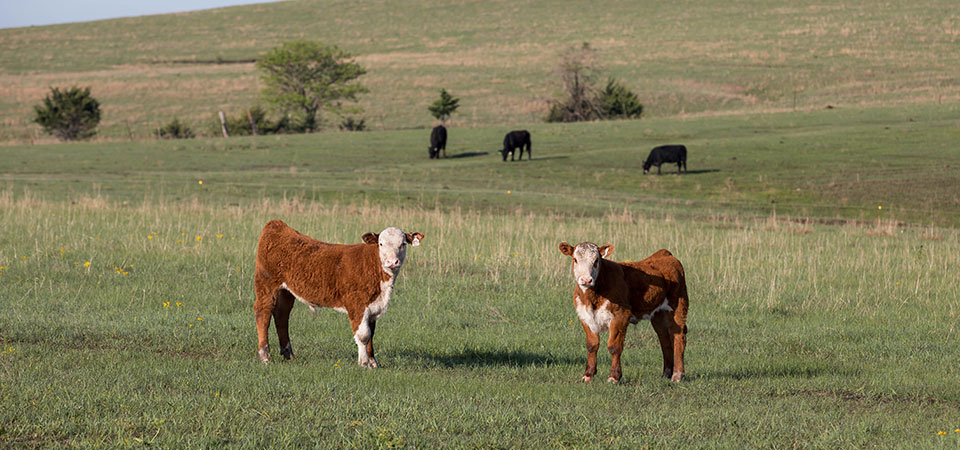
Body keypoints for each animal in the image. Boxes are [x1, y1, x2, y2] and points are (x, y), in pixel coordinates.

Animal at [254, 220, 424, 367]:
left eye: (403, 244)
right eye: (381, 244)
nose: (392, 262)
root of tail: (277, 225)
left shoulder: (373, 307)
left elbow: (371, 333)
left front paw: (373, 362)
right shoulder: (357, 304)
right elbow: (363, 335)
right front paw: (364, 363)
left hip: (286, 291)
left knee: (282, 315)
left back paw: (288, 354)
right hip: (266, 285)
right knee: (263, 313)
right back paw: (265, 356)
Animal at [558, 241, 689, 383]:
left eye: (596, 260)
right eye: (575, 259)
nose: (586, 280)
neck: (592, 298)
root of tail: (665, 254)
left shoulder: (620, 316)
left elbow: (614, 347)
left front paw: (614, 377)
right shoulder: (585, 316)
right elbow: (592, 345)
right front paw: (588, 375)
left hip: (678, 307)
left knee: (679, 336)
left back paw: (678, 375)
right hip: (658, 314)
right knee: (664, 339)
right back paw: (666, 373)